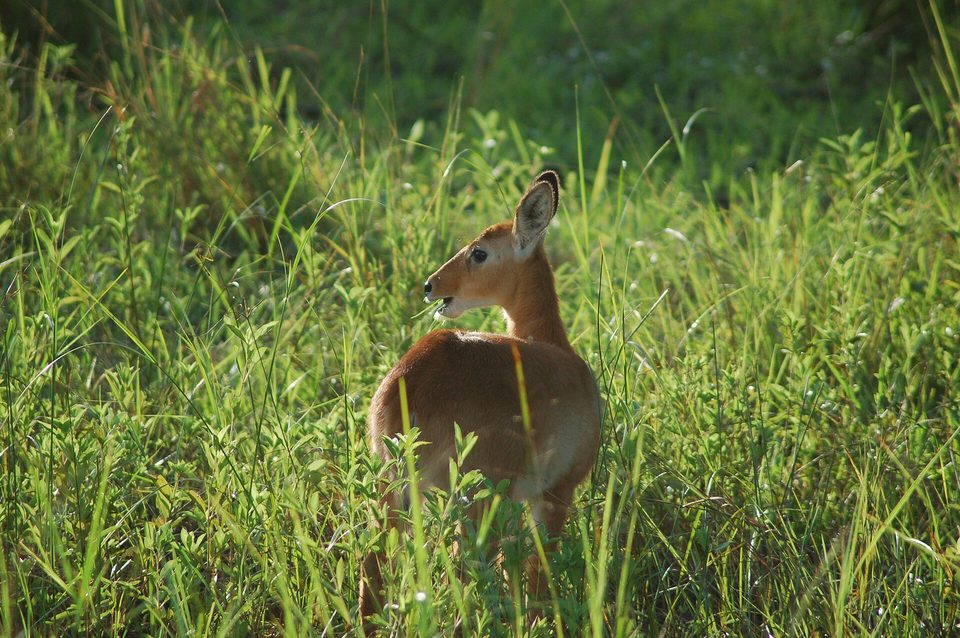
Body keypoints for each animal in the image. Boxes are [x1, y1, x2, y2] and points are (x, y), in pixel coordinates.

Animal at [359, 170, 601, 626]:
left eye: (480, 252)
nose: (430, 286)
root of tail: (413, 375)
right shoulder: (556, 493)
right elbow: (538, 577)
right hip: (474, 498)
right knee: (464, 573)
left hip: (393, 488)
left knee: (373, 569)